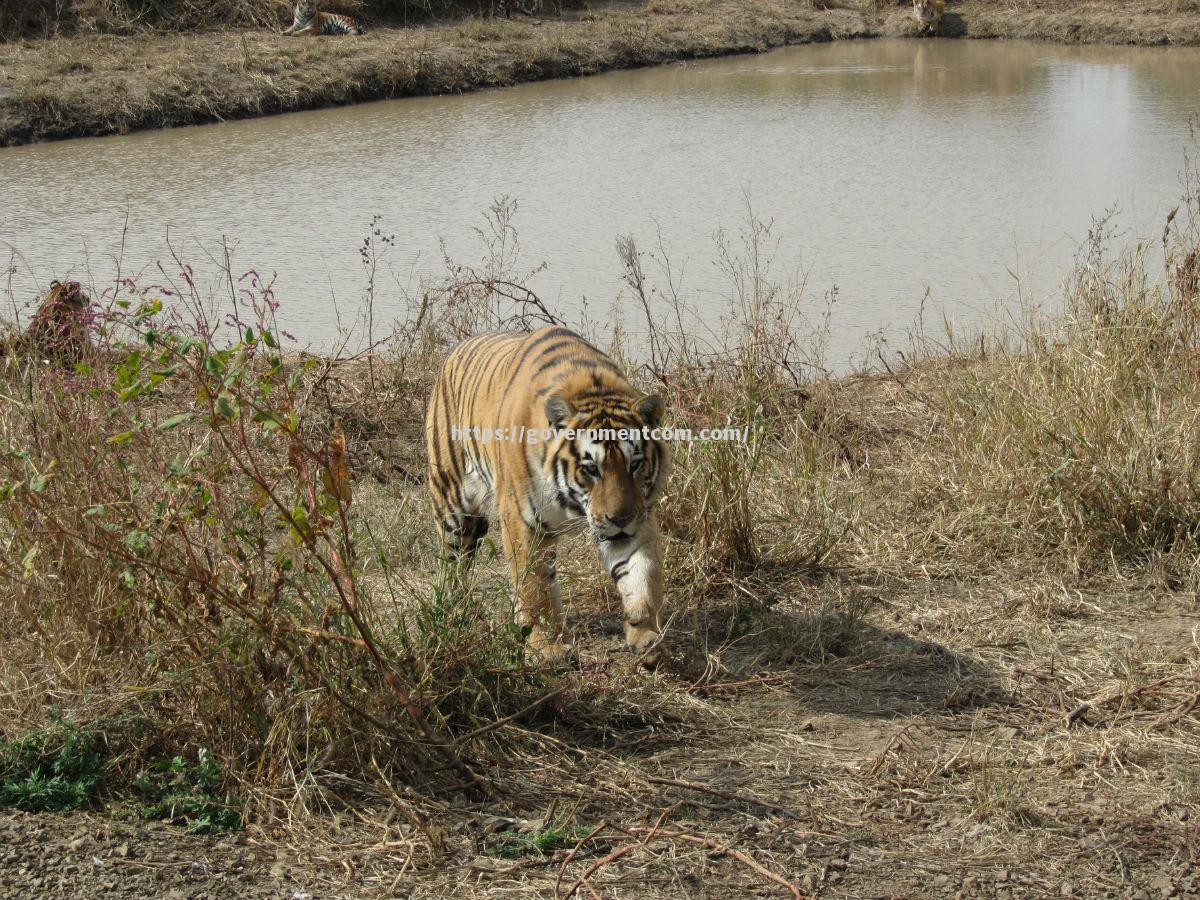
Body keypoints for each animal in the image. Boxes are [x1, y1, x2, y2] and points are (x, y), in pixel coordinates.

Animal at [424, 328, 672, 667]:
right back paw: (449, 612)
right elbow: (534, 587)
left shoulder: (637, 518)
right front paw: (547, 649)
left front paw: (645, 633)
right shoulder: (523, 523)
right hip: (454, 508)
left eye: (635, 464)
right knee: (452, 565)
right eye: (591, 468)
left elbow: (642, 572)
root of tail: (456, 350)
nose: (620, 518)